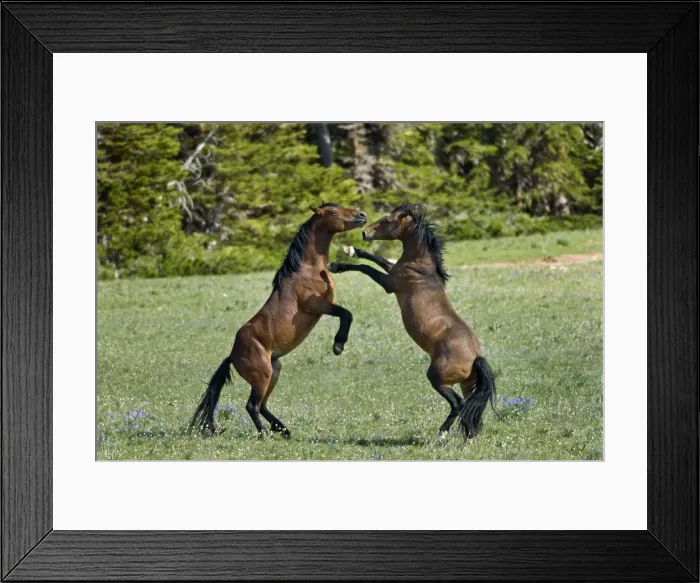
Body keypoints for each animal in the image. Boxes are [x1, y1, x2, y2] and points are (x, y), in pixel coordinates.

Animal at [190, 202, 368, 437]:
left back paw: (283, 430)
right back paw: (264, 433)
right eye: (333, 212)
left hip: (275, 371)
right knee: (252, 405)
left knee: (262, 405)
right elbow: (347, 314)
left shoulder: (328, 303)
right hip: (263, 375)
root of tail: (232, 356)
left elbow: (347, 313)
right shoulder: (317, 305)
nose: (362, 215)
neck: (308, 269)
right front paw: (338, 345)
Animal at [329, 202, 497, 439]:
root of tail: (476, 357)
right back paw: (469, 435)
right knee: (470, 406)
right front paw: (353, 250)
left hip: (437, 378)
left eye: (388, 220)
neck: (421, 266)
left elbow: (366, 268)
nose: (365, 232)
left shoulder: (389, 283)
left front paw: (336, 265)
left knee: (458, 404)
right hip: (467, 384)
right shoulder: (392, 270)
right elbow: (380, 260)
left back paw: (442, 433)